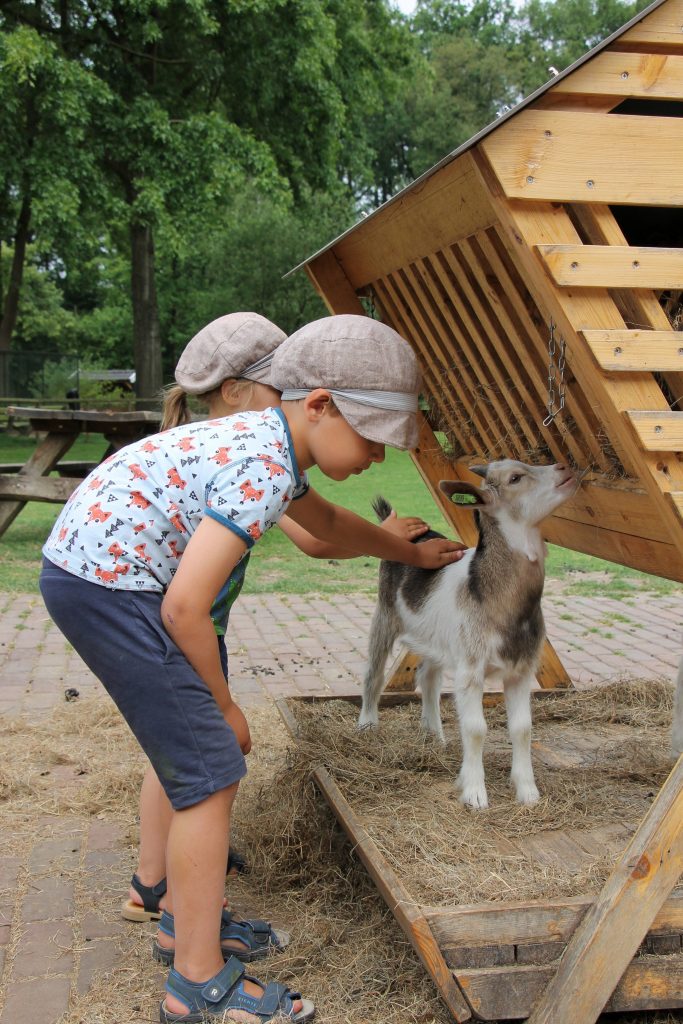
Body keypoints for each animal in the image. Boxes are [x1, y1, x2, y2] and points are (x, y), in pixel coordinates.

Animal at [358, 462, 577, 806]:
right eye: (515, 477)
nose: (564, 467)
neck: (494, 599)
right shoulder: (471, 668)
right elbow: (475, 728)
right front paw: (474, 793)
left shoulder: (521, 668)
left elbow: (523, 728)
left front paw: (527, 791)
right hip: (385, 613)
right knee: (374, 672)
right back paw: (367, 724)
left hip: (436, 638)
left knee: (428, 677)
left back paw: (434, 735)